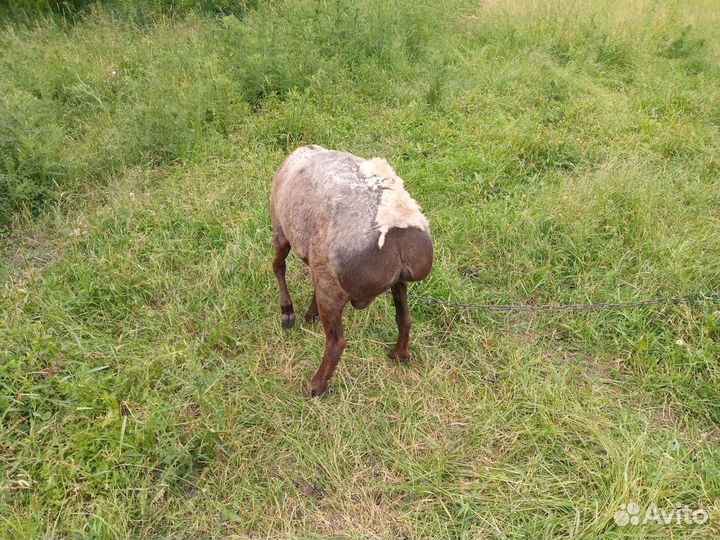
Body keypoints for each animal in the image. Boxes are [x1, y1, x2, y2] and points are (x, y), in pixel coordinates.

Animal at [270, 145, 433, 396]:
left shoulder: (282, 231)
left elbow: (279, 266)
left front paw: (288, 313)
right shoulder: (320, 266)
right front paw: (305, 313)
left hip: (330, 285)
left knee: (336, 343)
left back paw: (315, 387)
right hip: (396, 283)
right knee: (405, 318)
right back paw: (399, 355)